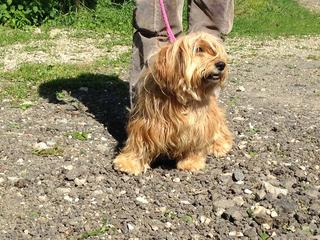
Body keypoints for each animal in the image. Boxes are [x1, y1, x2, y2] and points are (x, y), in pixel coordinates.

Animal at [113, 31, 232, 174]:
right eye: (199, 49)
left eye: (214, 52)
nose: (221, 64)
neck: (179, 97)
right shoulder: (147, 123)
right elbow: (139, 142)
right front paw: (129, 162)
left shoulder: (197, 124)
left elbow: (195, 144)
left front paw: (191, 162)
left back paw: (219, 145)